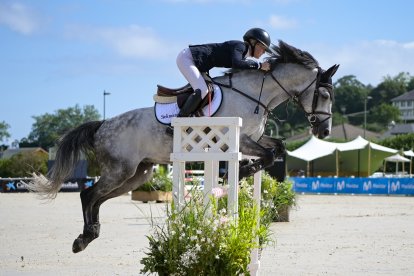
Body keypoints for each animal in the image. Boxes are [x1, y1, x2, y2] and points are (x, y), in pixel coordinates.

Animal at [29, 40, 340, 253]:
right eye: (324, 95)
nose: (324, 130)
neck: (254, 93)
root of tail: (103, 125)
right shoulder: (238, 139)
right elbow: (268, 154)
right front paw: (240, 172)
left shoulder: (253, 138)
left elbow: (277, 149)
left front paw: (245, 171)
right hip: (121, 170)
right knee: (88, 194)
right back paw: (83, 238)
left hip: (138, 174)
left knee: (98, 198)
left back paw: (89, 234)